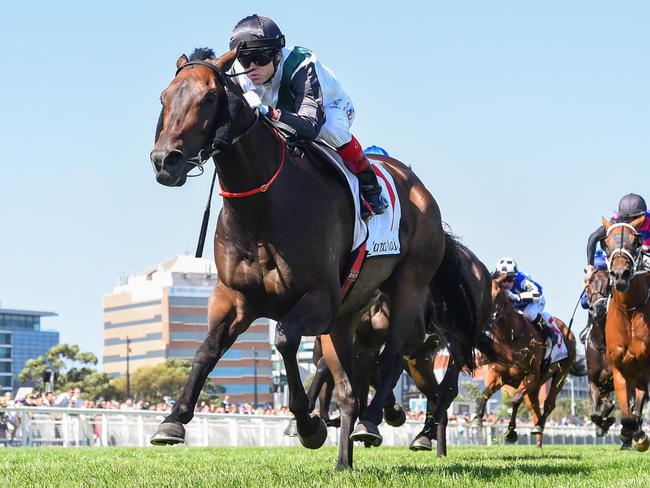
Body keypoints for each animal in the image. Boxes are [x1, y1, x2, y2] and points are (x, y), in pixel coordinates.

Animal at [147, 48, 480, 468]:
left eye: (209, 98)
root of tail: (421, 190)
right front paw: (173, 420)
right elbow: (207, 349)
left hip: (408, 285)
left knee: (394, 355)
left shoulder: (319, 300)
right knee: (349, 389)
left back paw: (376, 420)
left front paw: (307, 425)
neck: (263, 211)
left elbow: (285, 338)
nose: (165, 161)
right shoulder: (235, 299)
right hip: (347, 314)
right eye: (164, 97)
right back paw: (345, 462)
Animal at [470, 274, 576, 446]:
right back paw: (538, 439)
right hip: (537, 385)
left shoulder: (530, 375)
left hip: (561, 373)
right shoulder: (496, 374)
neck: (510, 338)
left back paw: (539, 427)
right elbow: (485, 393)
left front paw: (511, 432)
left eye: (499, 294)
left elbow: (515, 400)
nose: (491, 316)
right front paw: (477, 419)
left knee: (548, 403)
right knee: (535, 407)